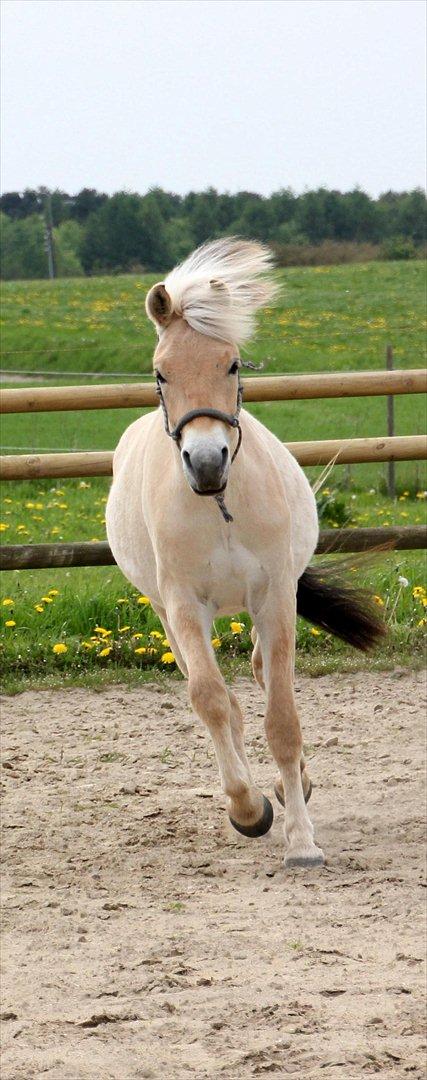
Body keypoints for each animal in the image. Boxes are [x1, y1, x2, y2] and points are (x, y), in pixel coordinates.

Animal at [105, 238, 384, 868]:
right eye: (160, 372)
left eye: (231, 363)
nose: (207, 462)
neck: (220, 506)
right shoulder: (184, 605)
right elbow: (210, 699)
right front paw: (248, 811)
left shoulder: (275, 595)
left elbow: (281, 718)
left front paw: (301, 841)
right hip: (166, 612)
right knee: (223, 697)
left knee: (262, 674)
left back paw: (292, 783)